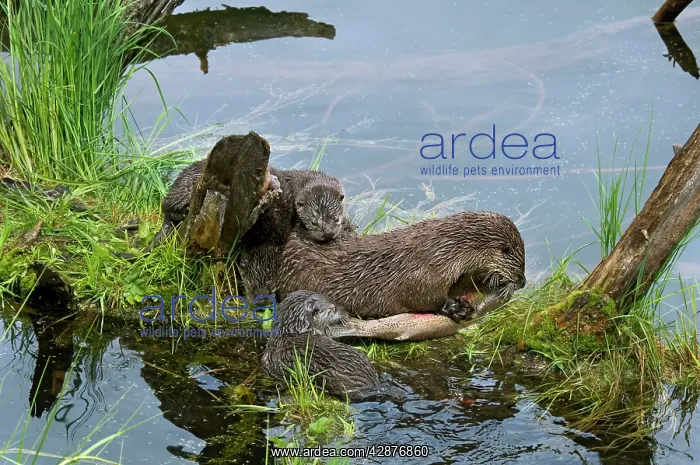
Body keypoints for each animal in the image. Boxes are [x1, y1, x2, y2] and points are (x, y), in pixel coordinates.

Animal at [273, 211, 526, 323]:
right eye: (520, 266)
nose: (523, 282)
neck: (442, 251)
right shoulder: (423, 276)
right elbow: (425, 299)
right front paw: (456, 308)